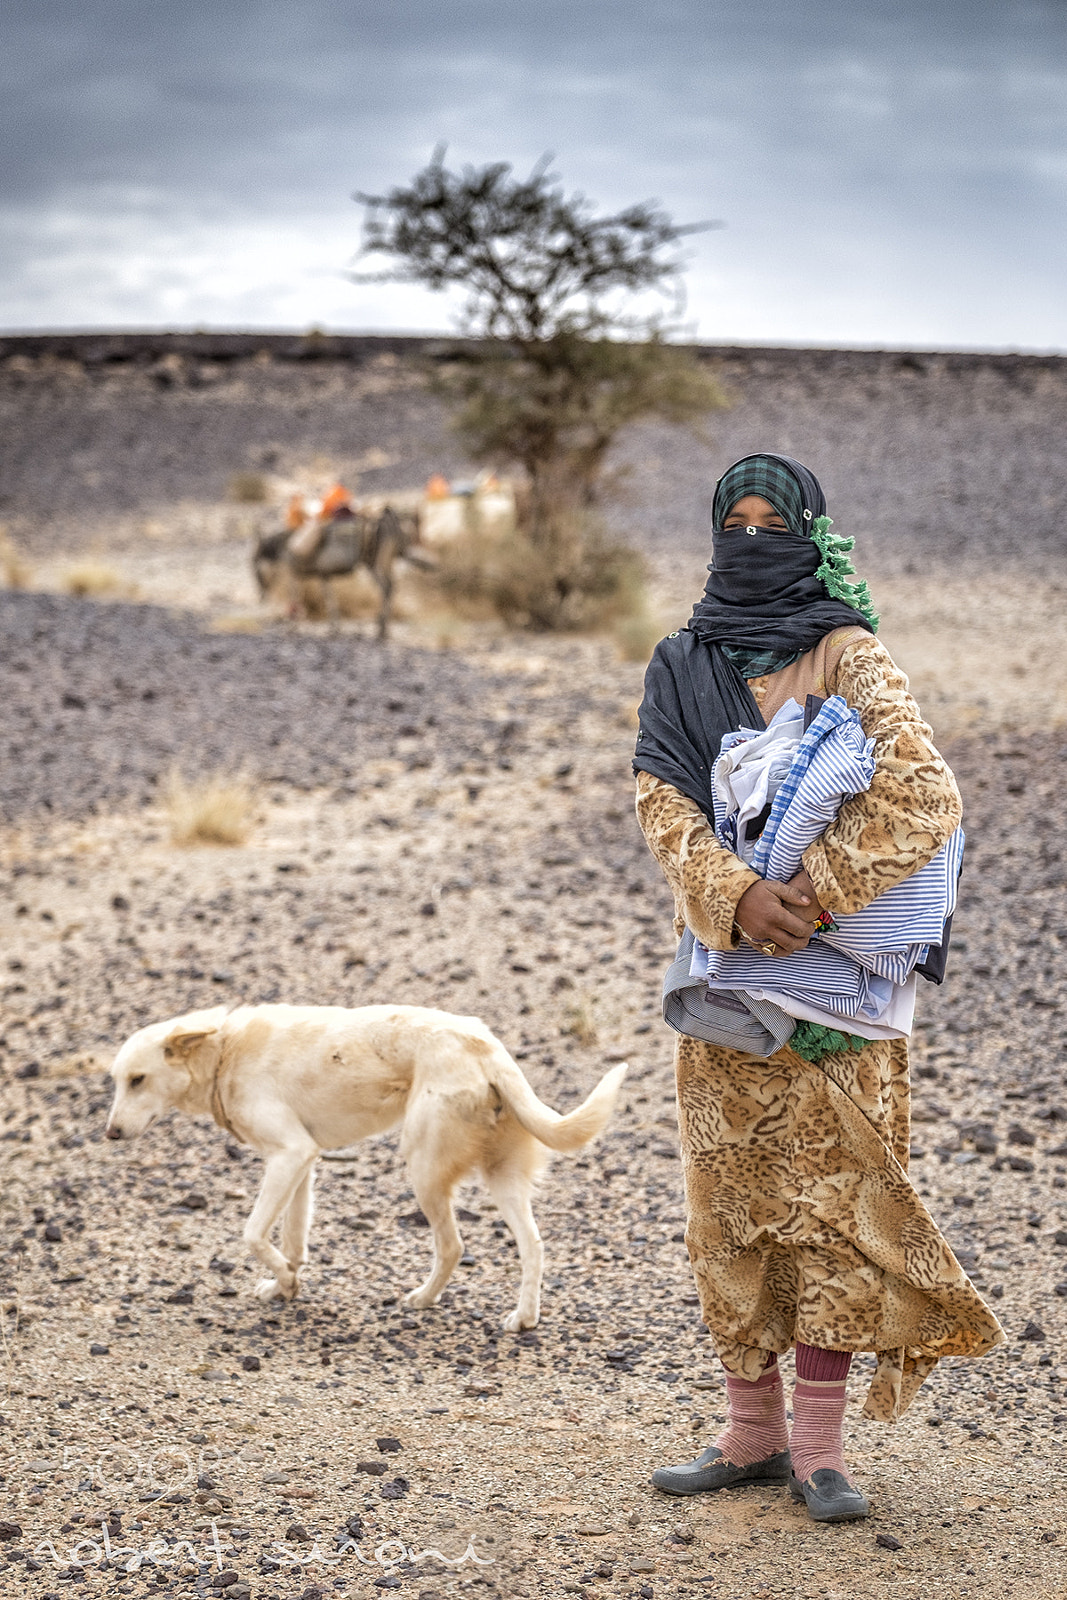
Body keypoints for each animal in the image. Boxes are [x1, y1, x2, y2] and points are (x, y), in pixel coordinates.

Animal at [106, 1004, 627, 1331]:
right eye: (118, 1081)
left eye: (138, 1080)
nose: (109, 1133)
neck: (224, 1052)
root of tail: (485, 1048)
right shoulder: (301, 1162)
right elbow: (292, 1238)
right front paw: (285, 1284)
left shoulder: (290, 1154)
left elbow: (253, 1234)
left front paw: (286, 1280)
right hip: (502, 1179)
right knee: (533, 1246)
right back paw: (524, 1318)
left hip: (423, 1170)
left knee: (453, 1246)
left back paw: (424, 1299)